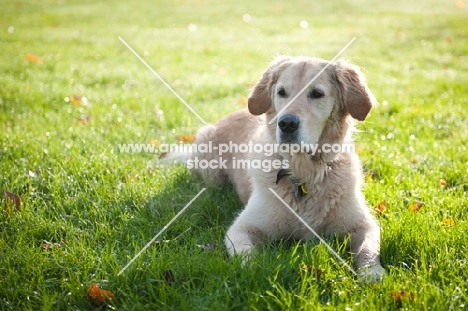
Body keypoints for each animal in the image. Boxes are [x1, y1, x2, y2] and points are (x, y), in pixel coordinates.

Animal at [166, 55, 386, 282]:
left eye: (317, 94)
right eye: (282, 92)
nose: (287, 123)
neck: (303, 174)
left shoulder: (363, 225)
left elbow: (368, 249)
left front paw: (372, 273)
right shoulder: (242, 227)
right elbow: (246, 255)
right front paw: (254, 273)